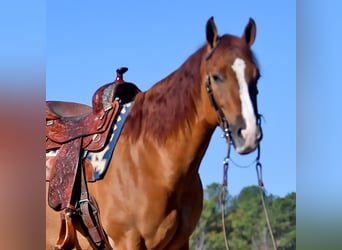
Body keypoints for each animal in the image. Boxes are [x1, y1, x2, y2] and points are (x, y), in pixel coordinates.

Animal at [46, 16, 262, 249]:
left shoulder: (180, 242)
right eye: (216, 76)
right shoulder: (127, 241)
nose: (249, 133)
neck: (152, 159)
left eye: (256, 76)